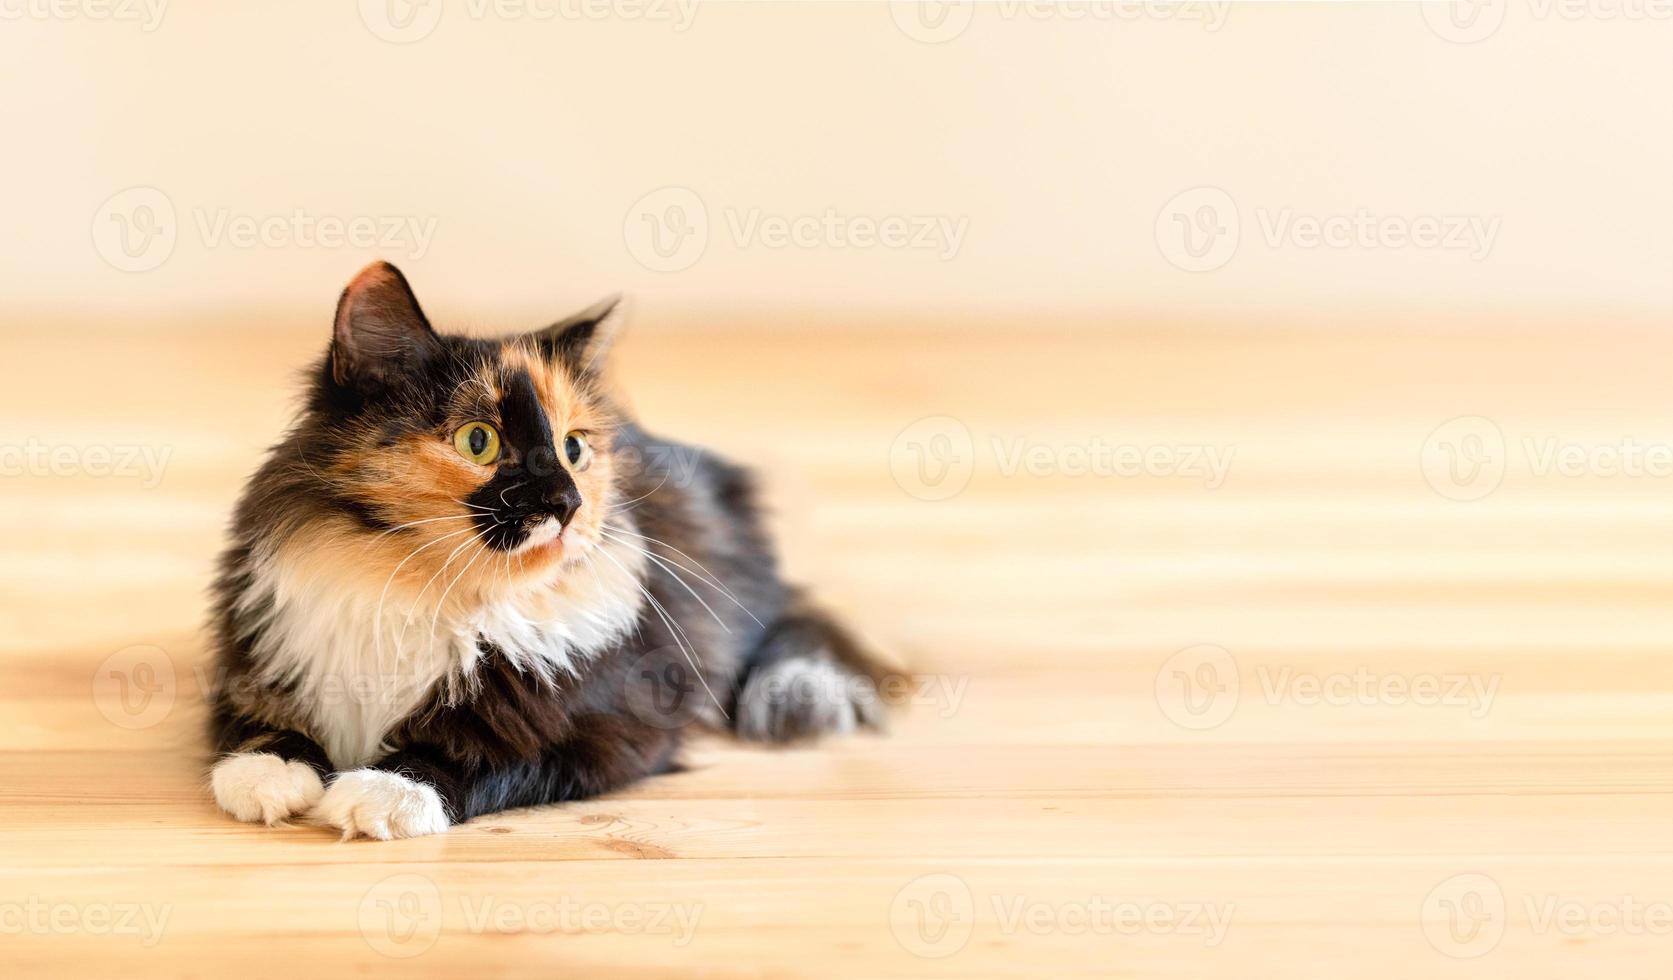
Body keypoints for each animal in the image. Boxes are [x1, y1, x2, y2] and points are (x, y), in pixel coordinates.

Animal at [204, 262, 896, 836]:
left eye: (573, 449)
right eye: (479, 440)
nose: (568, 502)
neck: (426, 592)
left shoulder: (611, 730)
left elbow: (486, 757)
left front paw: (384, 792)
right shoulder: (258, 662)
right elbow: (254, 728)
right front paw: (270, 774)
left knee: (795, 624)